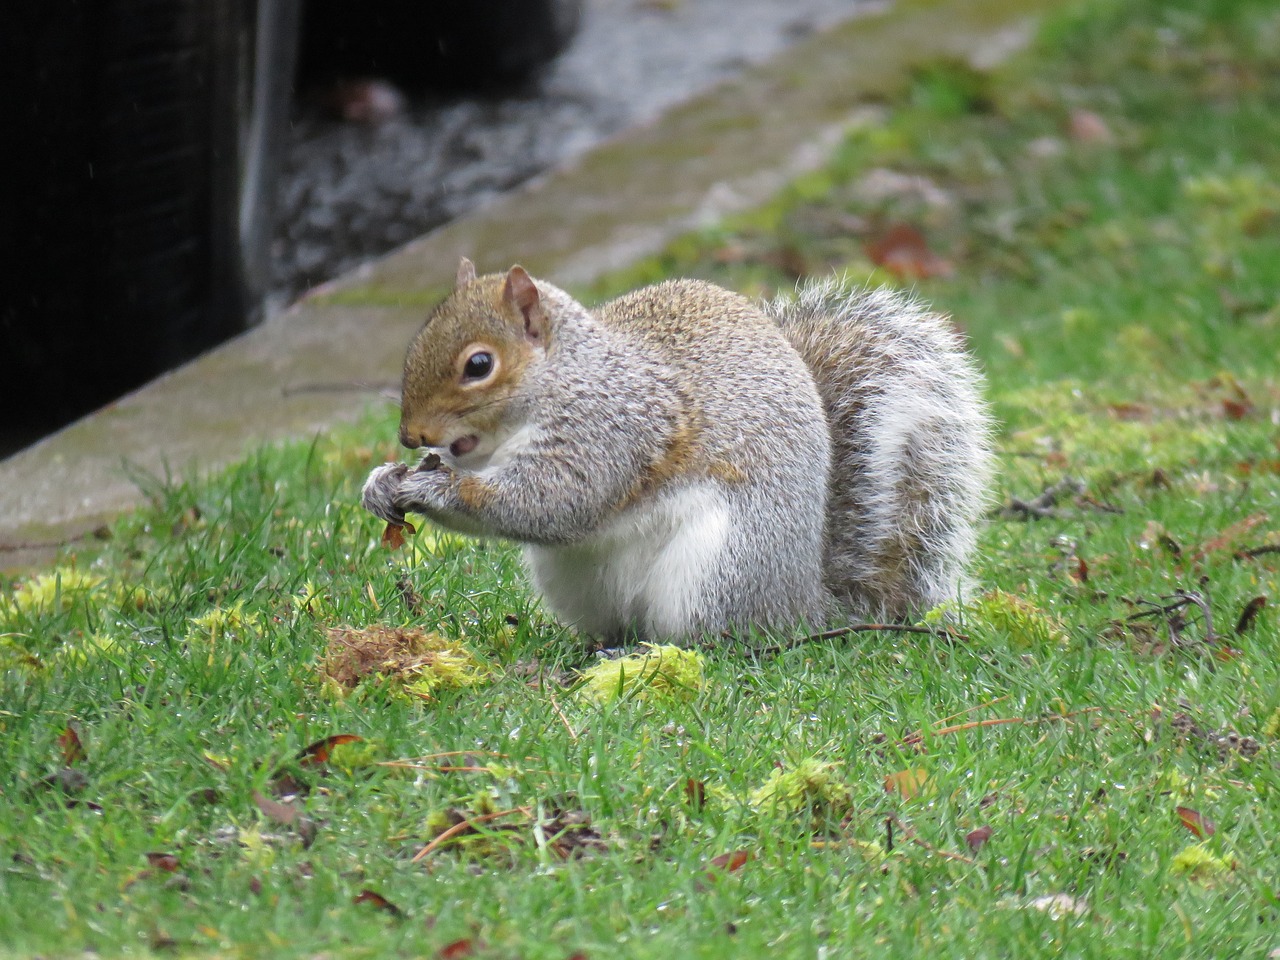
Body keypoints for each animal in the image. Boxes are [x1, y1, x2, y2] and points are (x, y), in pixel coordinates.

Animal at [366, 259, 993, 642]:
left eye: (479, 365)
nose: (410, 435)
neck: (567, 377)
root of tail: (804, 602)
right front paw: (382, 481)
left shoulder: (615, 429)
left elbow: (554, 502)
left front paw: (434, 486)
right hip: (576, 582)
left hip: (718, 568)